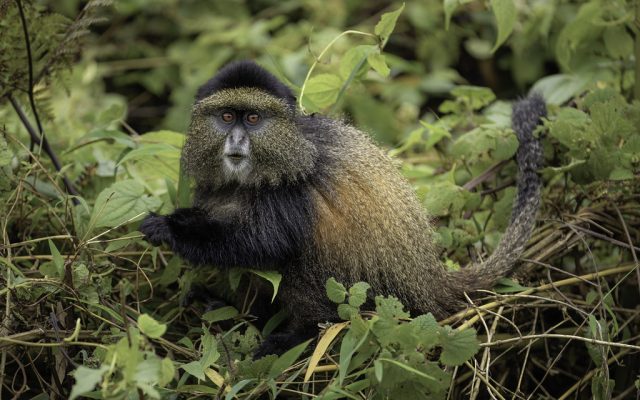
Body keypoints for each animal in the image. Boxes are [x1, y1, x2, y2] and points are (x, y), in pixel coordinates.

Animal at [140, 60, 546, 357]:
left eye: (253, 118)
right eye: (227, 117)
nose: (237, 140)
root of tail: (428, 279)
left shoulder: (290, 192)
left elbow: (264, 244)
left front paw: (168, 228)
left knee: (297, 263)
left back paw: (298, 336)